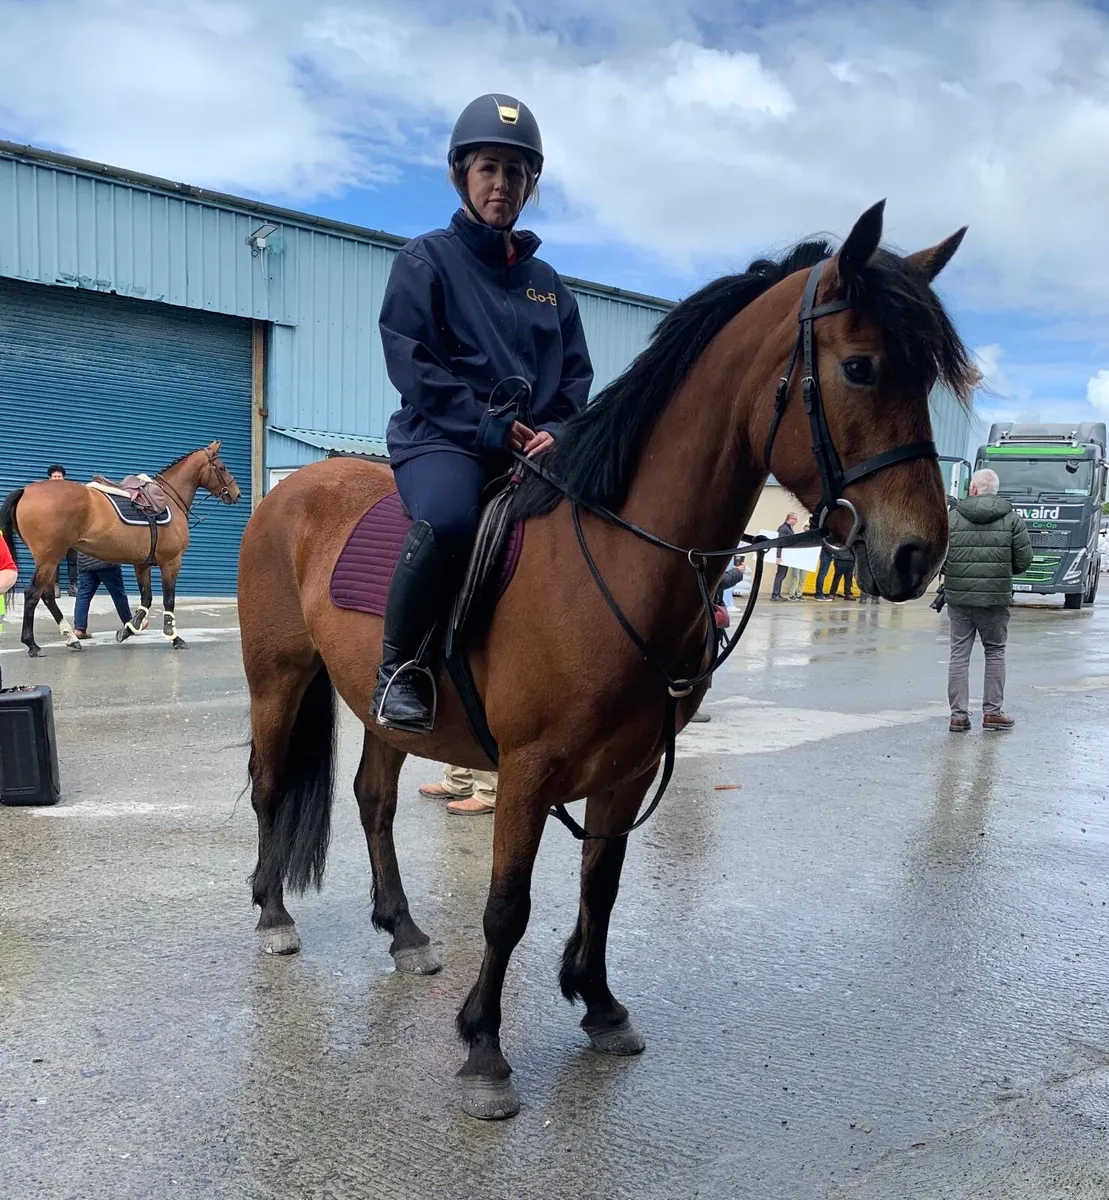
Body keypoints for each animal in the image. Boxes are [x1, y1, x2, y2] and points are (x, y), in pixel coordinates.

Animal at [0, 441, 241, 656]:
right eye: (222, 467)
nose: (237, 493)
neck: (169, 499)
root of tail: (26, 490)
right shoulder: (171, 562)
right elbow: (168, 599)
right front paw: (174, 637)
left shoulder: (142, 564)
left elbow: (146, 598)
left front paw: (128, 630)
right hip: (50, 558)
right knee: (33, 594)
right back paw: (32, 644)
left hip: (49, 559)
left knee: (47, 595)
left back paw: (71, 637)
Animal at [236, 202, 977, 1120]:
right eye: (862, 367)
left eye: (927, 379)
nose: (917, 555)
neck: (616, 559)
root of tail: (289, 491)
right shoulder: (527, 771)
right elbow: (506, 909)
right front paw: (484, 1050)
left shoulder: (627, 768)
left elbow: (602, 884)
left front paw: (597, 1004)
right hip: (277, 680)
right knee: (271, 788)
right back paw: (273, 915)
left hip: (383, 710)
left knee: (373, 802)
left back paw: (403, 931)